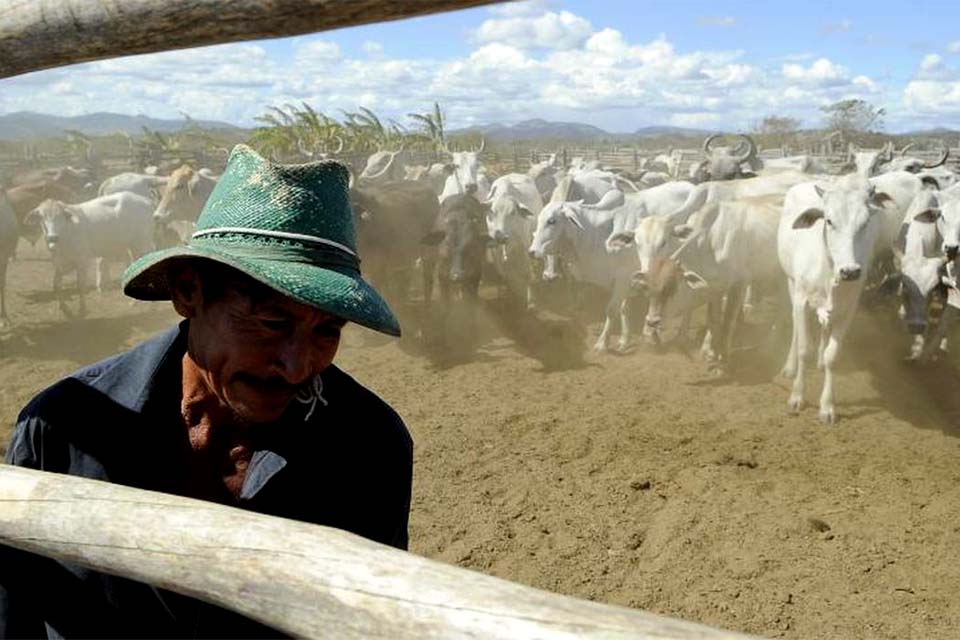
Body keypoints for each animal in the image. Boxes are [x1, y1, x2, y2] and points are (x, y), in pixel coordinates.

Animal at [25, 194, 156, 316]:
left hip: (143, 244)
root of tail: (147, 201)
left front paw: (82, 309)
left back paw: (151, 306)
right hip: (133, 247)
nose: (53, 237)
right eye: (42, 217)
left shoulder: (82, 260)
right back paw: (134, 302)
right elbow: (56, 284)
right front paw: (64, 308)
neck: (66, 234)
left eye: (61, 216)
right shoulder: (60, 263)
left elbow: (80, 285)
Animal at [780, 178, 892, 422]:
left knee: (825, 331)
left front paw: (827, 406)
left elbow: (833, 356)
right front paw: (797, 396)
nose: (850, 271)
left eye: (865, 222)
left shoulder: (847, 309)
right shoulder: (802, 300)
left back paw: (820, 362)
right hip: (791, 283)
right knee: (795, 327)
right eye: (829, 221)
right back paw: (790, 367)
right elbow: (804, 348)